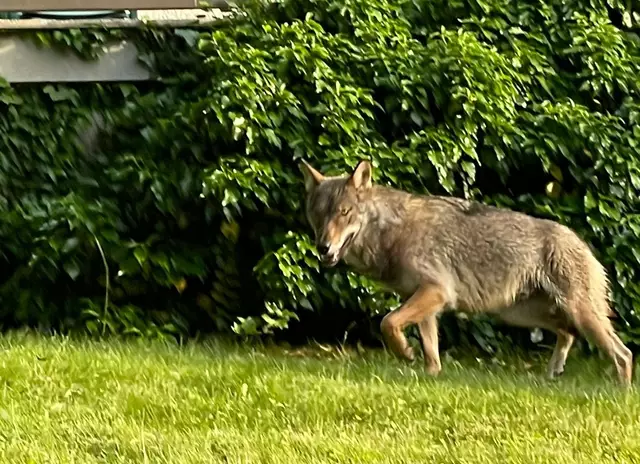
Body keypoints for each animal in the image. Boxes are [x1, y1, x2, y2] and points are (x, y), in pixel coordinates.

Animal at [300, 160, 633, 386]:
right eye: (317, 215)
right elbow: (430, 352)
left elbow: (387, 322)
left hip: (577, 314)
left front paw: (405, 353)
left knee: (623, 354)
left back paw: (620, 394)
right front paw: (430, 375)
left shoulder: (435, 292)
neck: (392, 231)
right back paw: (553, 373)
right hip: (522, 315)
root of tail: (583, 242)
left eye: (344, 213)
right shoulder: (427, 304)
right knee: (568, 334)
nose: (323, 247)